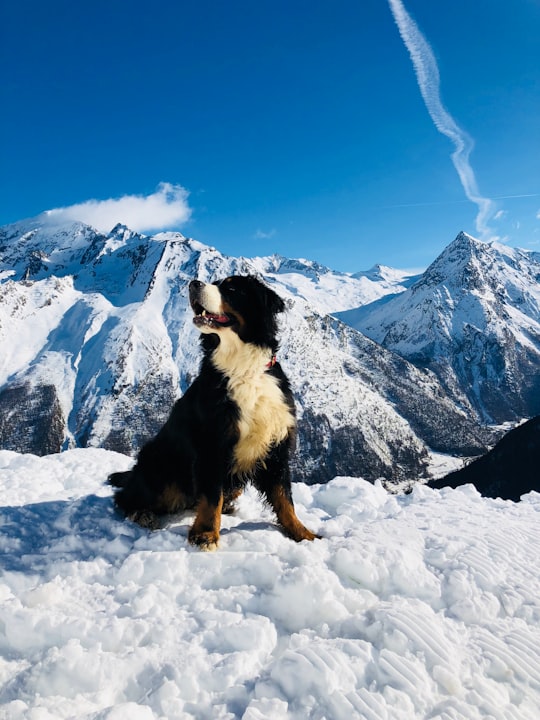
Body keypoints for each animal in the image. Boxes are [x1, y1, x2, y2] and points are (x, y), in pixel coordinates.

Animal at [108, 276, 320, 552]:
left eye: (231, 288)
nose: (193, 283)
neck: (243, 369)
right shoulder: (212, 444)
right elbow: (211, 497)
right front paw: (206, 534)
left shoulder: (276, 446)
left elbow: (285, 498)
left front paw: (303, 533)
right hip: (161, 467)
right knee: (127, 496)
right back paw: (142, 513)